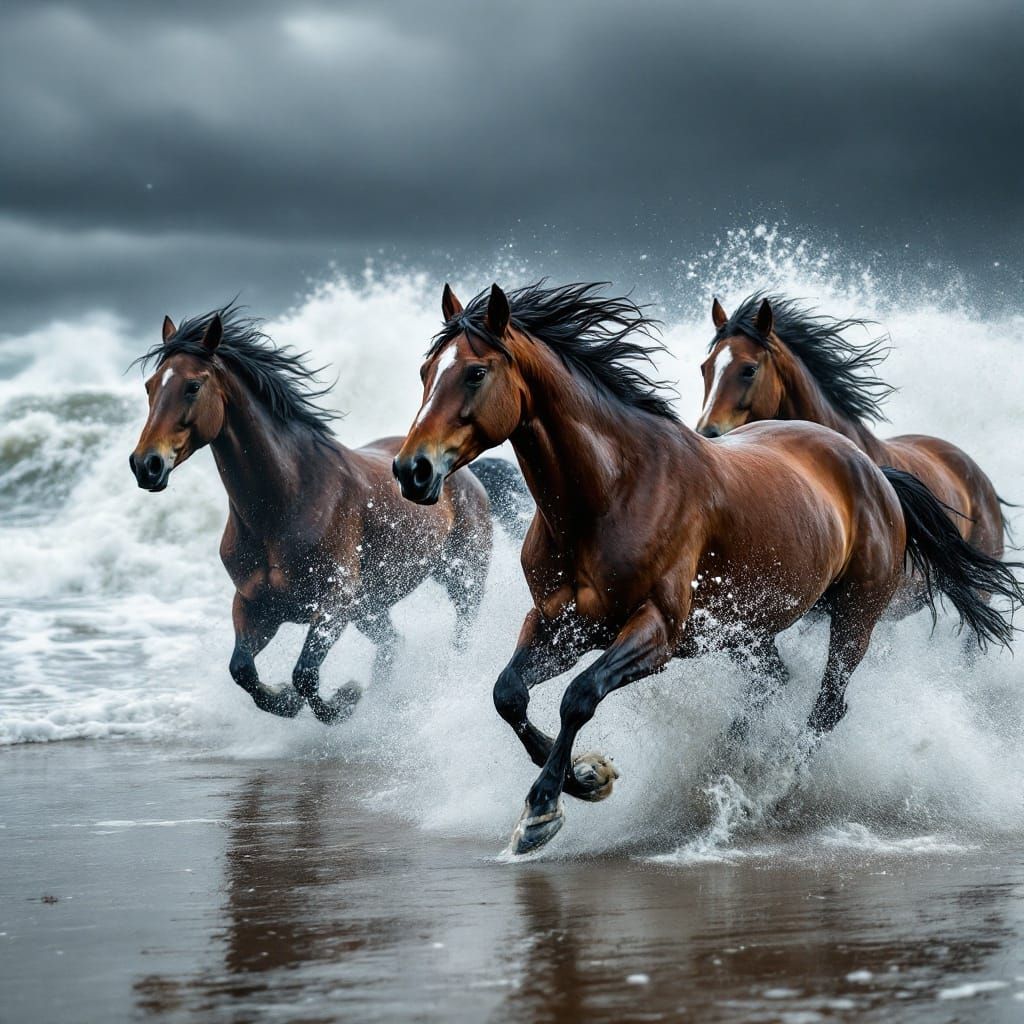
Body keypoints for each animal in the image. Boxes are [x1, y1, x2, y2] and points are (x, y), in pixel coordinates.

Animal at [129, 306, 511, 723]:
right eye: (150, 387)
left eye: (193, 386)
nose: (145, 465)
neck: (284, 505)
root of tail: (466, 474)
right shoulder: (254, 604)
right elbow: (243, 670)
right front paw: (287, 699)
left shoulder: (333, 604)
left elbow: (305, 674)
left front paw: (345, 698)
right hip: (370, 609)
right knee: (393, 644)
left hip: (463, 579)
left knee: (459, 635)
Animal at [393, 280, 1022, 854]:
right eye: (424, 371)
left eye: (475, 373)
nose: (412, 470)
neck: (611, 492)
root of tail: (871, 468)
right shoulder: (558, 624)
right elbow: (509, 694)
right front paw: (587, 778)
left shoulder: (657, 631)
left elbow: (579, 696)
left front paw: (545, 809)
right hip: (752, 630)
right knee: (771, 686)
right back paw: (732, 770)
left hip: (855, 617)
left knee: (827, 706)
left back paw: (773, 790)